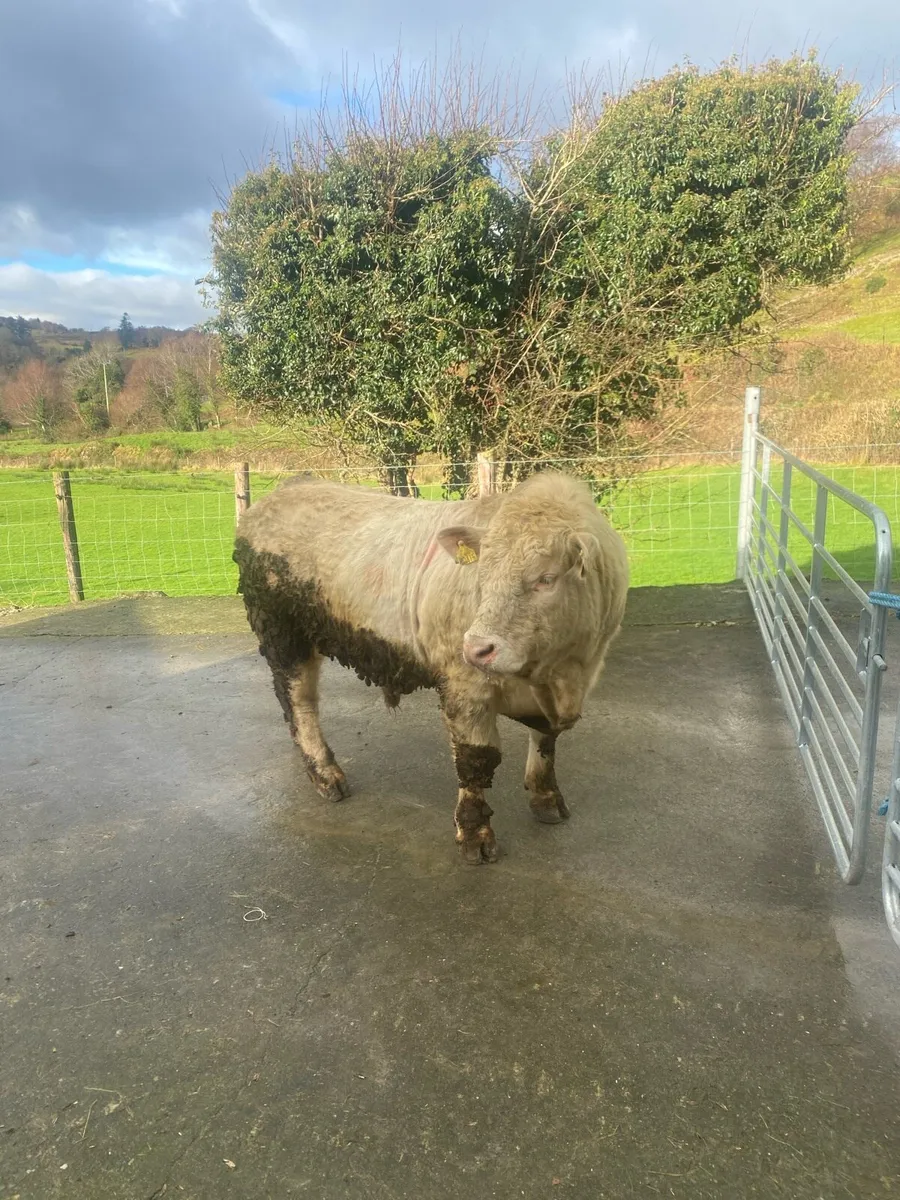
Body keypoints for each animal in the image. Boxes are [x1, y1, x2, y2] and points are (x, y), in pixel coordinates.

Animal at [233, 470, 629, 863]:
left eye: (547, 578)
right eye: (482, 576)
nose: (476, 648)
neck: (559, 677)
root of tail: (287, 490)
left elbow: (545, 742)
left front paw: (546, 798)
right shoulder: (465, 686)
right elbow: (476, 758)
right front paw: (474, 835)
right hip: (284, 636)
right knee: (299, 702)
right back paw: (326, 774)